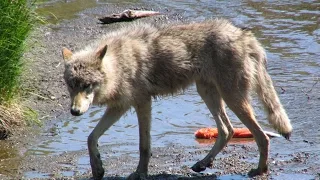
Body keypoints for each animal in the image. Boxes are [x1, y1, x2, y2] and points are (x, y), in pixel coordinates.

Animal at [62, 19, 292, 179]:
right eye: (72, 85)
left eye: (87, 85)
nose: (74, 112)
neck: (118, 64)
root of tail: (244, 35)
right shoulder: (119, 107)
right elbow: (91, 138)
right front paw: (97, 168)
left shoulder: (142, 103)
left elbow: (144, 146)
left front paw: (140, 174)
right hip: (208, 94)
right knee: (227, 130)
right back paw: (202, 164)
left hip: (232, 99)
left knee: (261, 136)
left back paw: (259, 170)